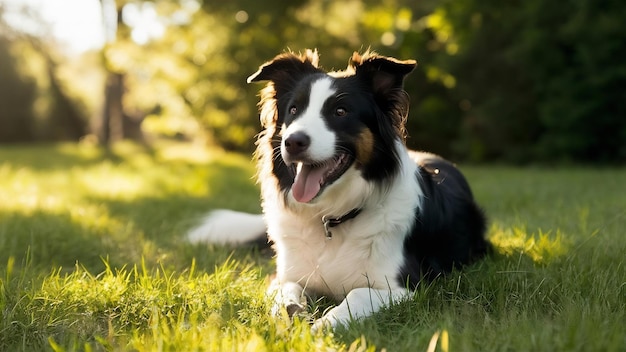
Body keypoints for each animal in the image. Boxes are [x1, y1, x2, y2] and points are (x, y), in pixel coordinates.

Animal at [188, 50, 490, 332]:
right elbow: (285, 292)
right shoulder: (286, 276)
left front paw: (324, 326)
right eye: (294, 110)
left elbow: (357, 294)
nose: (292, 142)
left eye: (340, 112)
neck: (332, 217)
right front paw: (292, 312)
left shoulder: (405, 286)